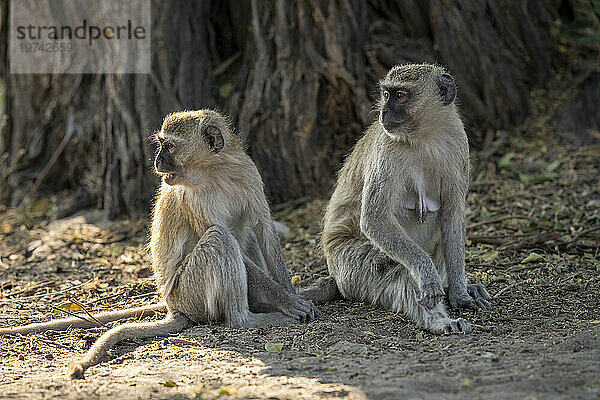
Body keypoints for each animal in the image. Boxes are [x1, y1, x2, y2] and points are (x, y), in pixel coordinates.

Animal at [312, 64, 490, 332]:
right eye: (386, 95)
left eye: (400, 96)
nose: (383, 112)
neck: (425, 136)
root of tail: (335, 274)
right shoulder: (386, 150)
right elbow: (375, 220)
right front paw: (428, 277)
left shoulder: (458, 143)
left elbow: (452, 214)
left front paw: (460, 292)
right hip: (348, 266)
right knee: (393, 268)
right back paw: (438, 320)